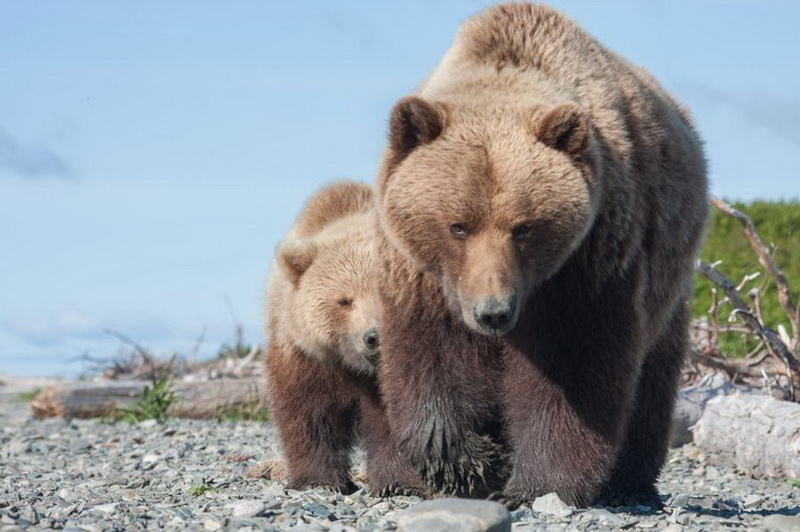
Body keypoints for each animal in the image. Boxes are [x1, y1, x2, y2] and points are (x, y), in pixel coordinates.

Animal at [266, 181, 422, 496]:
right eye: (344, 301)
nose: (374, 337)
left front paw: (398, 483)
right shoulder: (305, 356)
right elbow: (309, 415)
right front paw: (318, 480)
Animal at [374, 2, 708, 504]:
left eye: (523, 227)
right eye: (458, 226)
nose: (493, 312)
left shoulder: (586, 261)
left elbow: (570, 367)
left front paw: (534, 483)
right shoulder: (424, 277)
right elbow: (429, 361)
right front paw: (472, 462)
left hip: (669, 273)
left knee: (653, 376)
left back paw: (631, 482)